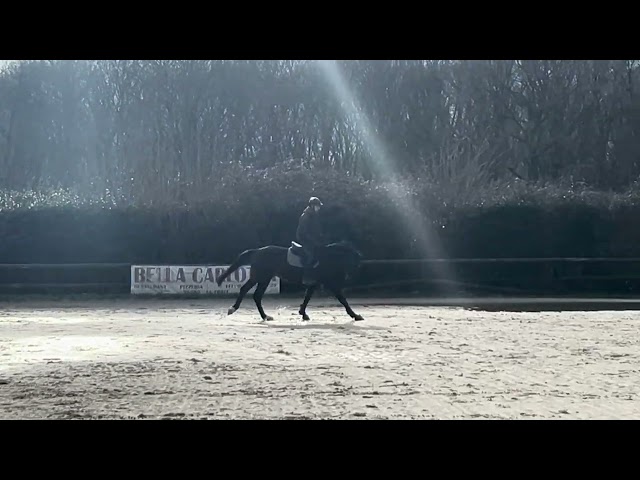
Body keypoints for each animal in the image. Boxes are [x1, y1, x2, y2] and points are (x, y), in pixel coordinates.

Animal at [216, 240, 364, 322]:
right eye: (353, 259)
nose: (349, 276)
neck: (328, 258)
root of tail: (257, 251)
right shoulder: (331, 284)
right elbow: (343, 300)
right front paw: (356, 315)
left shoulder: (313, 284)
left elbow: (307, 298)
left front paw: (303, 314)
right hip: (260, 277)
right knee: (246, 290)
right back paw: (233, 309)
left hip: (264, 279)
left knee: (256, 295)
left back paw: (265, 317)